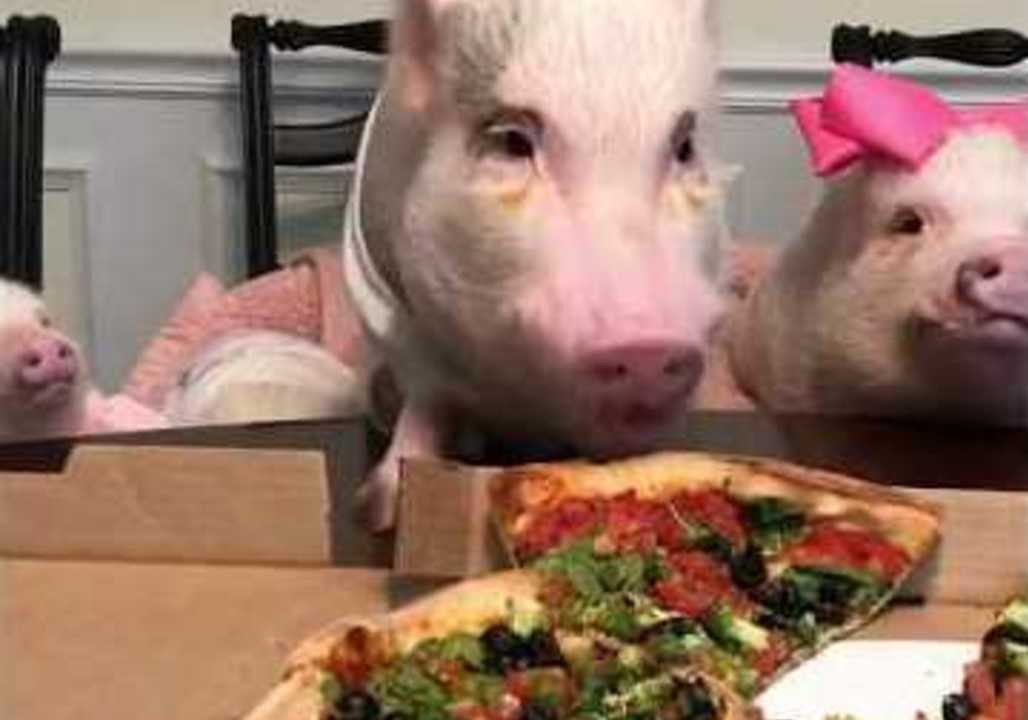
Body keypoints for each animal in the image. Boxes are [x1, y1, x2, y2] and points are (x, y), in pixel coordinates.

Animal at [345, 0, 733, 529]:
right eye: (512, 142)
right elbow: (427, 398)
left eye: (685, 147)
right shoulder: (392, 311)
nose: (648, 345)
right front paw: (377, 510)